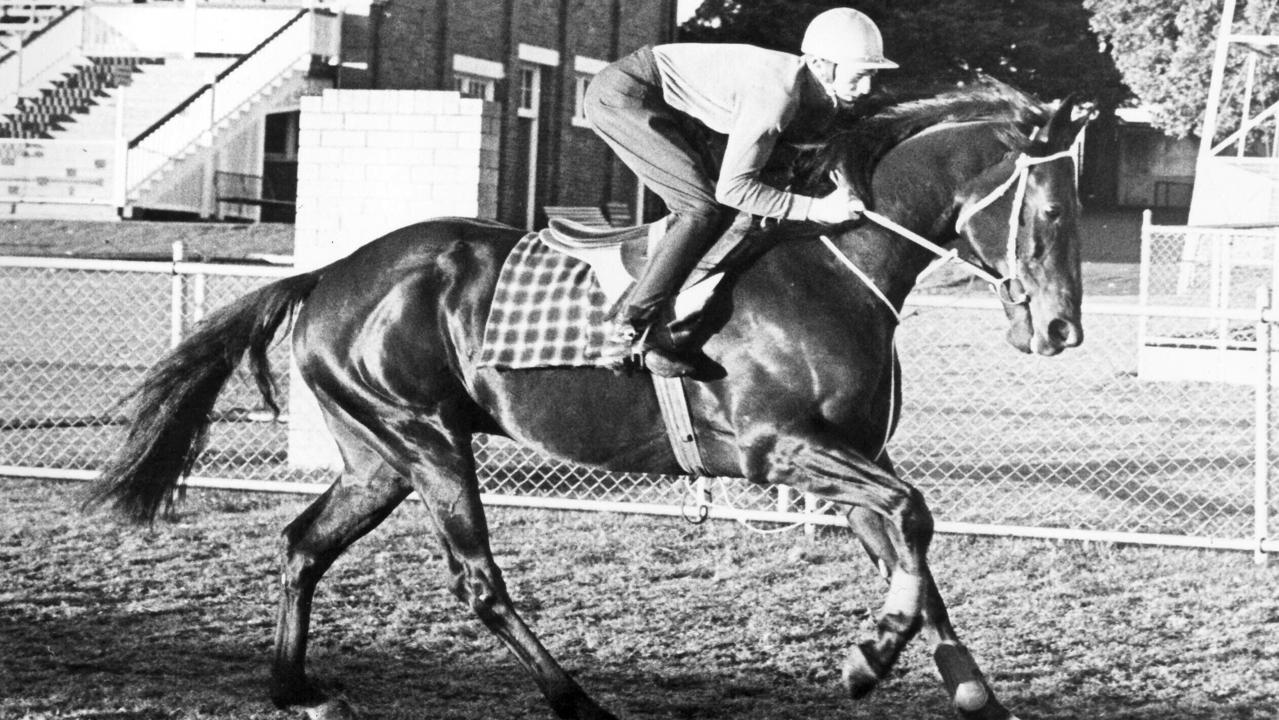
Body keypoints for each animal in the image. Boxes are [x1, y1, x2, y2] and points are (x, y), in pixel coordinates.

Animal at [90, 80, 1089, 720]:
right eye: (1050, 213)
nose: (1060, 330)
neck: (830, 260)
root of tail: (329, 274)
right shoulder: (779, 448)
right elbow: (915, 519)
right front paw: (866, 657)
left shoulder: (850, 457)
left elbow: (914, 562)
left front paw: (957, 685)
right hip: (428, 439)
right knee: (477, 581)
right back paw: (577, 700)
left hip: (378, 456)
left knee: (302, 544)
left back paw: (294, 688)